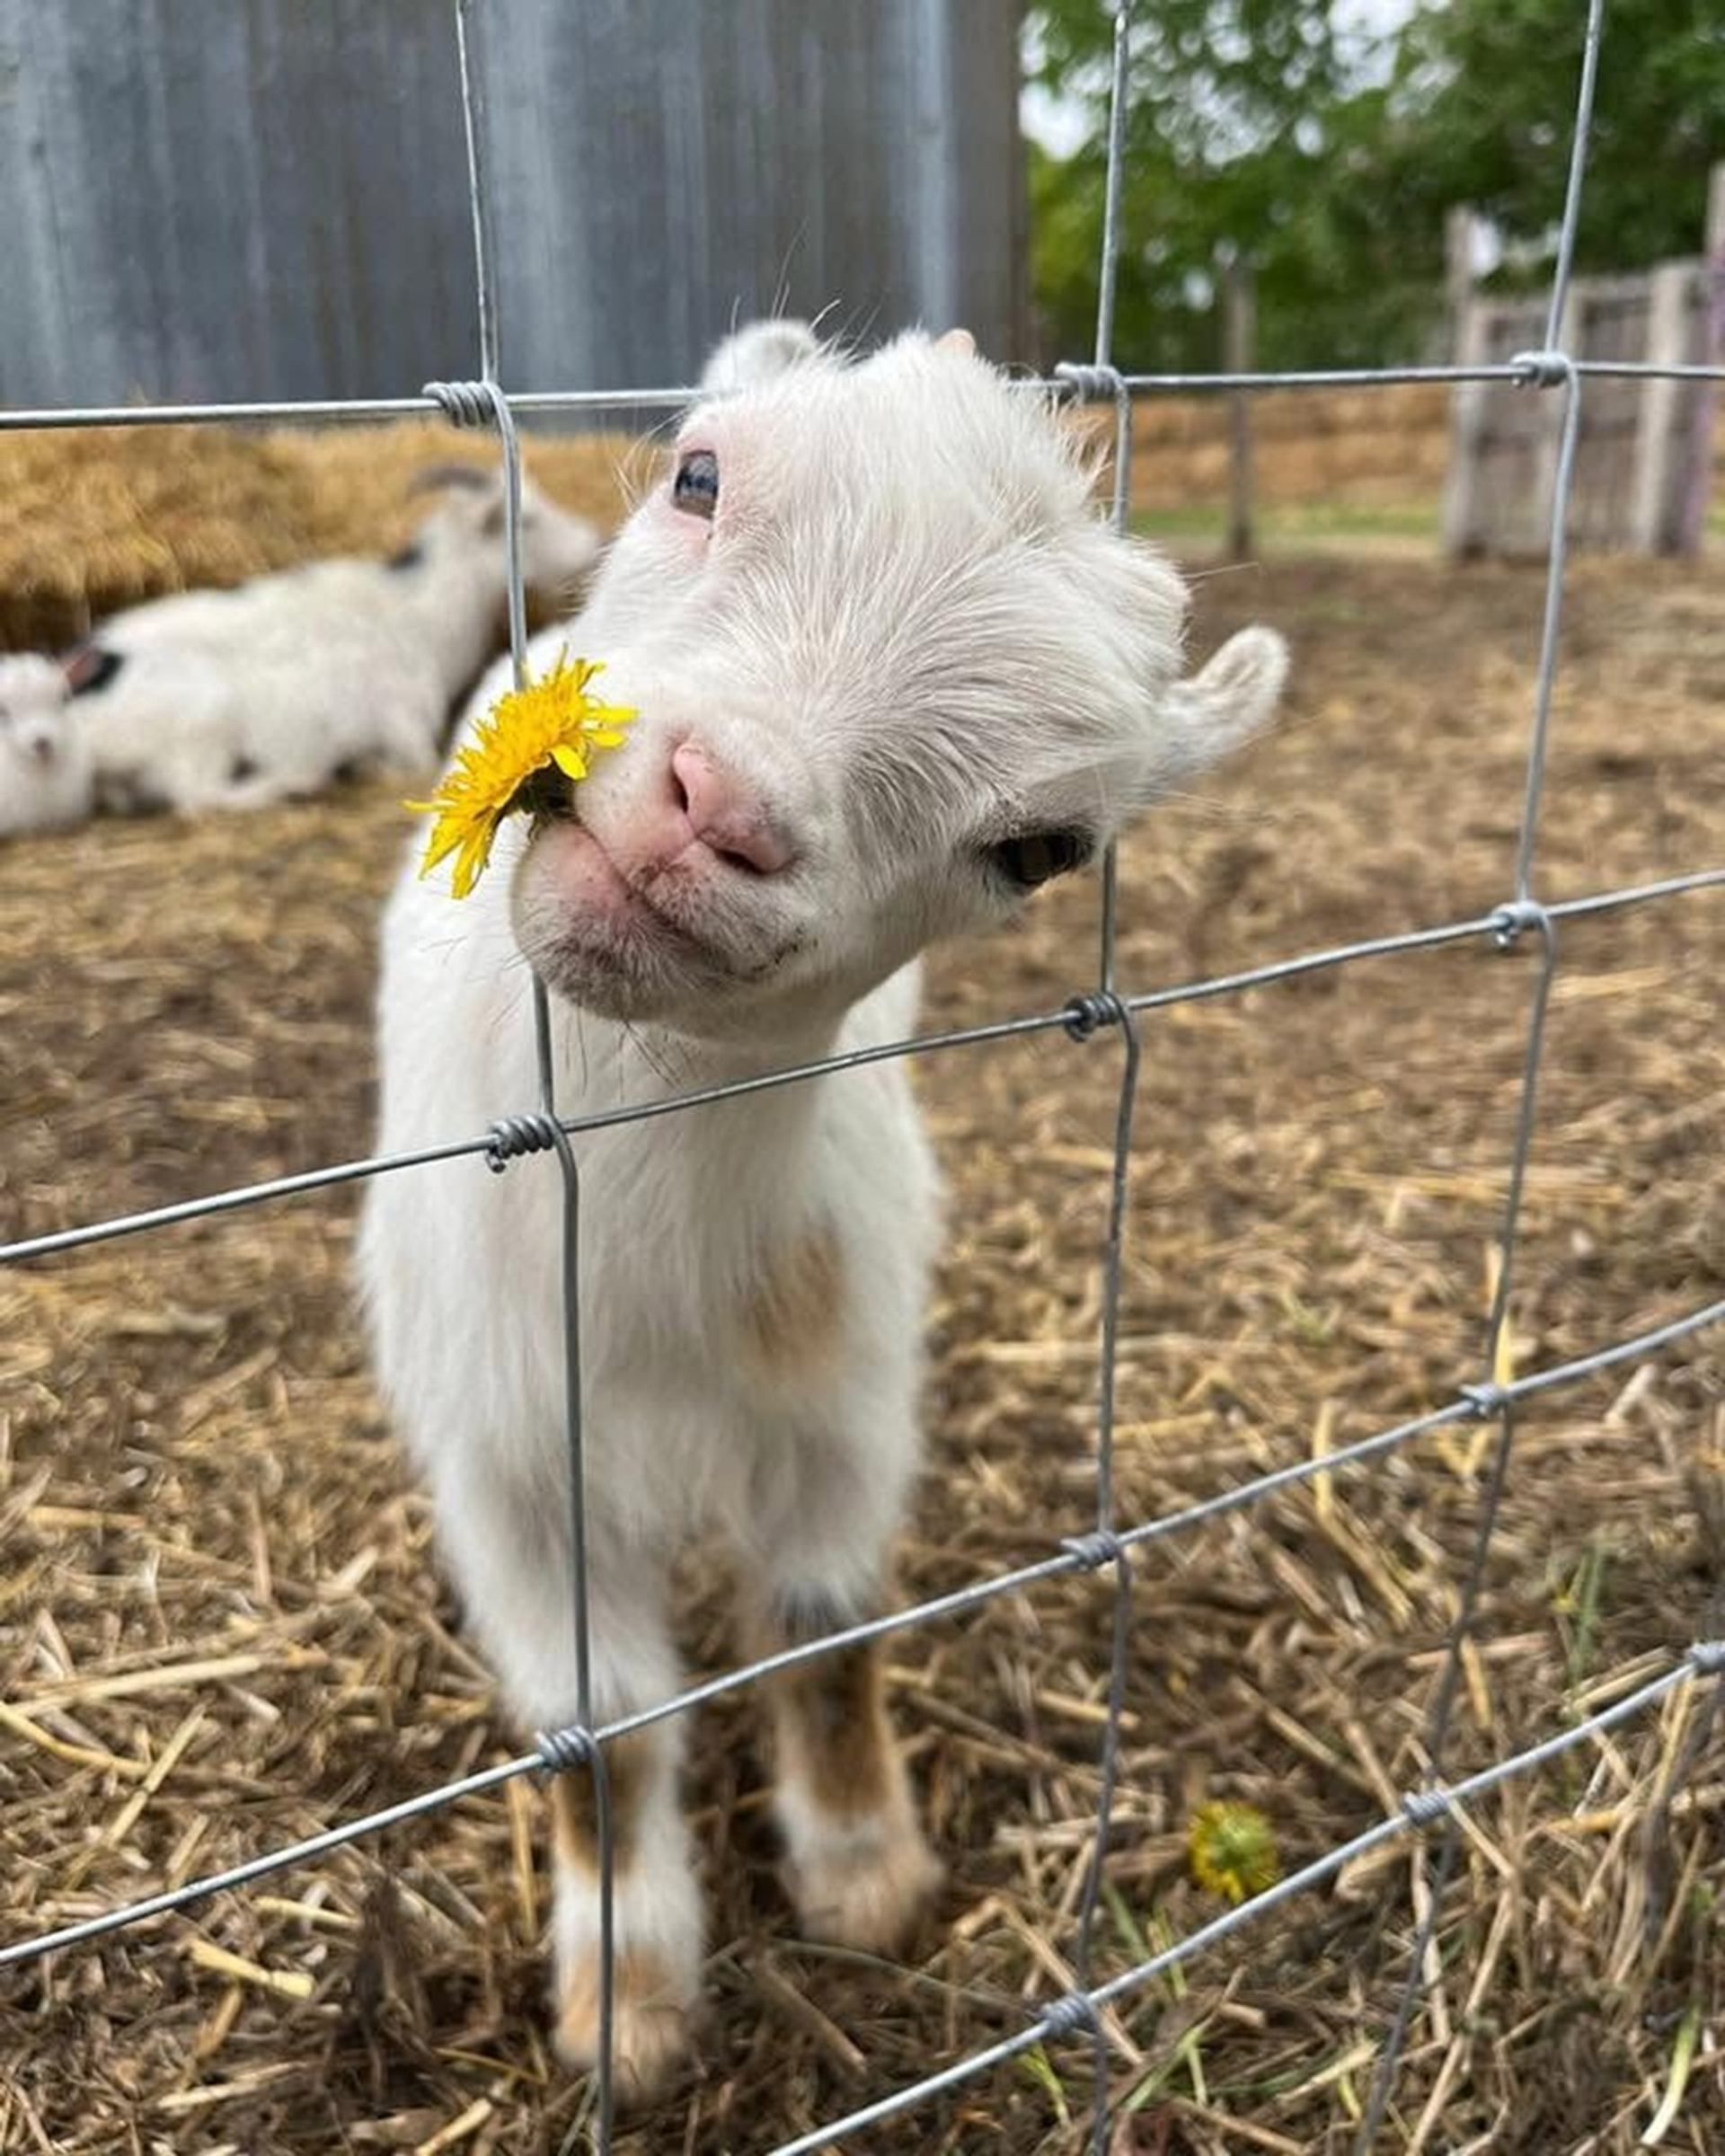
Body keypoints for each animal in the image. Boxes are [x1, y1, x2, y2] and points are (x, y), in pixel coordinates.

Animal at [359, 322, 1287, 2098]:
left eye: (1042, 847)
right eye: (701, 473)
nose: (706, 811)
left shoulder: (844, 1390)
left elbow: (827, 1627)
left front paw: (867, 1875)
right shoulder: (508, 1464)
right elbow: (599, 1733)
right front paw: (628, 1998)